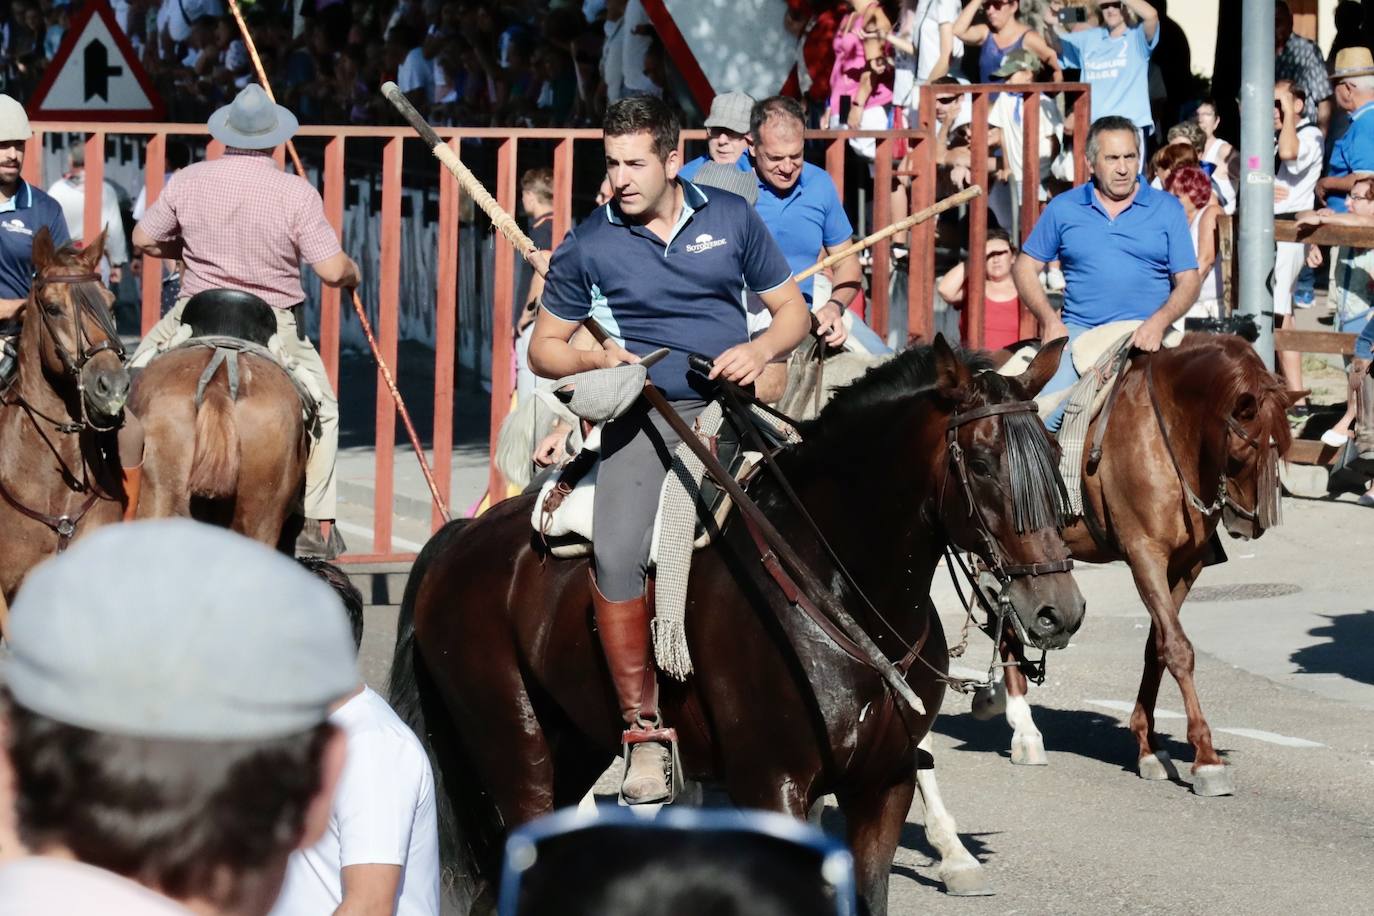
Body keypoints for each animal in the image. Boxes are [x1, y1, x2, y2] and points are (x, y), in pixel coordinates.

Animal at [384, 340, 1082, 911]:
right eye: (984, 462)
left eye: (1053, 454)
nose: (1059, 610)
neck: (836, 583)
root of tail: (458, 537)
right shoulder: (772, 786)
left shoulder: (883, 786)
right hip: (516, 747)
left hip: (574, 743)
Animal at [972, 335, 1291, 796]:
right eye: (1244, 451)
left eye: (1282, 449)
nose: (1253, 523)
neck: (1168, 433)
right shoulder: (1145, 556)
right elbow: (1178, 649)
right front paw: (1206, 759)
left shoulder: (1185, 565)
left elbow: (1156, 647)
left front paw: (1148, 747)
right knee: (1003, 619)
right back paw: (1024, 729)